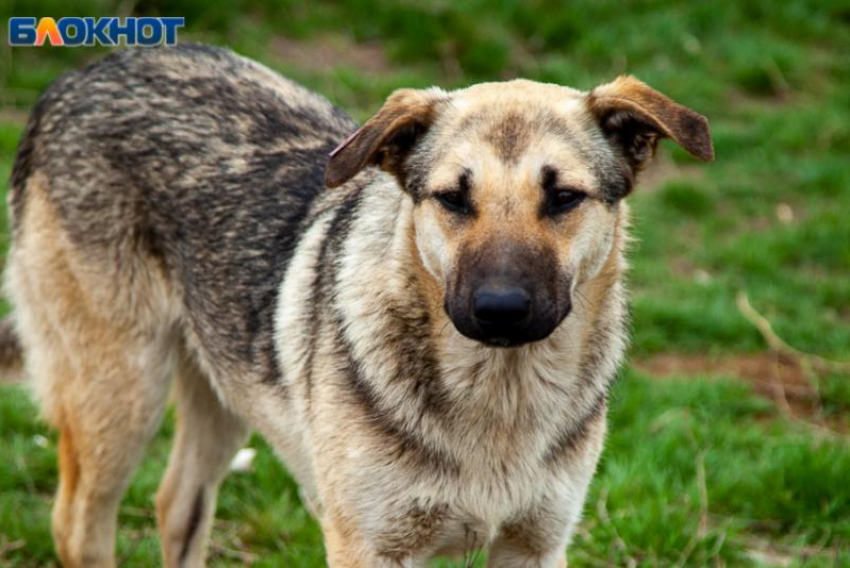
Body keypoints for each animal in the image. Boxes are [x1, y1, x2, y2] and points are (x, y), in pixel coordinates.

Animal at [1, 45, 708, 568]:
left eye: (563, 197)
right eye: (453, 198)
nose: (500, 309)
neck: (499, 402)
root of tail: (82, 73)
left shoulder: (535, 543)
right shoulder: (370, 545)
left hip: (221, 389)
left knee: (176, 505)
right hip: (121, 395)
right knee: (76, 524)